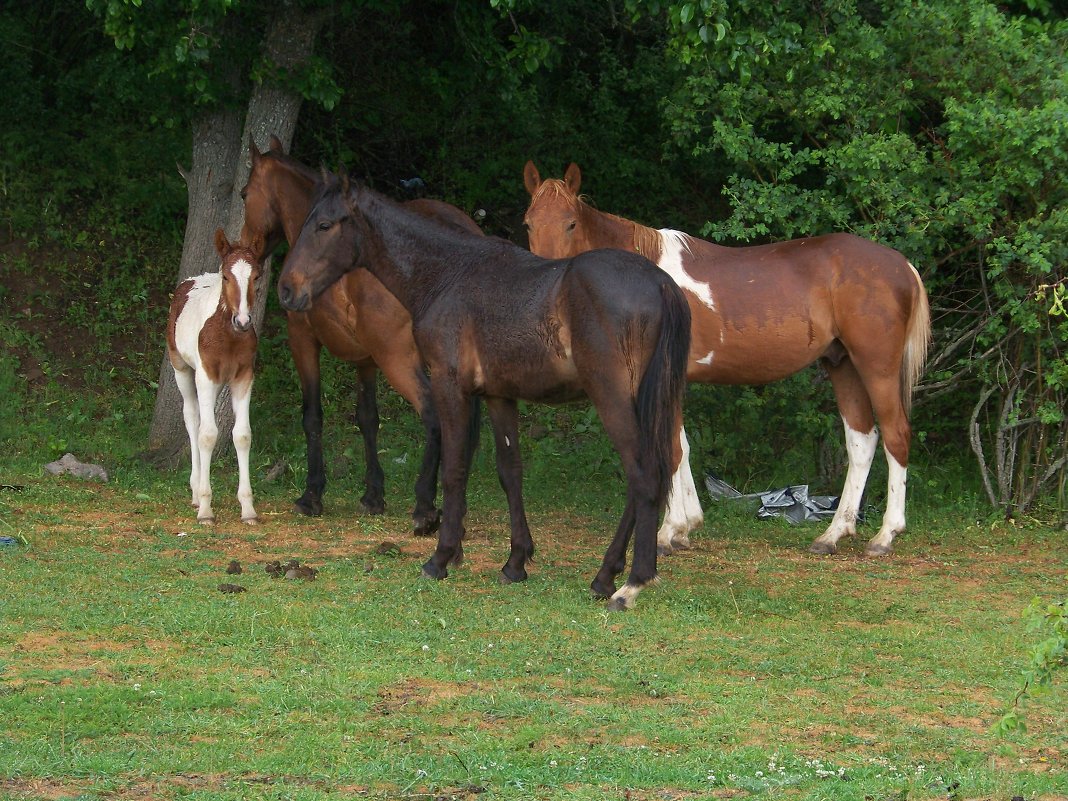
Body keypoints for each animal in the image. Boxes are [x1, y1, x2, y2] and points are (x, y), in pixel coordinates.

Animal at [168, 228, 267, 527]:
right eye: (226, 277)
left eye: (256, 276)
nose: (243, 321)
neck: (228, 336)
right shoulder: (206, 376)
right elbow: (208, 434)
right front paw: (205, 509)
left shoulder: (244, 377)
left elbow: (242, 435)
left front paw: (248, 509)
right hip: (182, 370)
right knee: (192, 419)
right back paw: (195, 491)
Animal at [242, 138, 480, 536]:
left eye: (244, 194)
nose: (247, 250)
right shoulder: (365, 360)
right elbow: (368, 418)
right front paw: (373, 495)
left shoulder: (303, 339)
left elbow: (312, 416)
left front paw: (313, 494)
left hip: (400, 360)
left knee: (434, 416)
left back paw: (425, 507)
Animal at [279, 174, 687, 606]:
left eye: (324, 225)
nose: (286, 290)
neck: (448, 275)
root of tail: (661, 284)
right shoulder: (497, 395)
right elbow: (510, 472)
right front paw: (516, 562)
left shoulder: (449, 385)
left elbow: (455, 468)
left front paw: (440, 557)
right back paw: (605, 576)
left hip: (611, 399)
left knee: (643, 477)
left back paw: (631, 582)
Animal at [521, 163, 931, 559]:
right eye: (528, 222)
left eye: (571, 223)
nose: (546, 283)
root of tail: (901, 265)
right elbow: (681, 446)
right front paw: (685, 528)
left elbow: (670, 448)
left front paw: (667, 532)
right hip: (842, 365)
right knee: (861, 442)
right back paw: (833, 535)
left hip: (876, 367)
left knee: (895, 435)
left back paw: (885, 536)